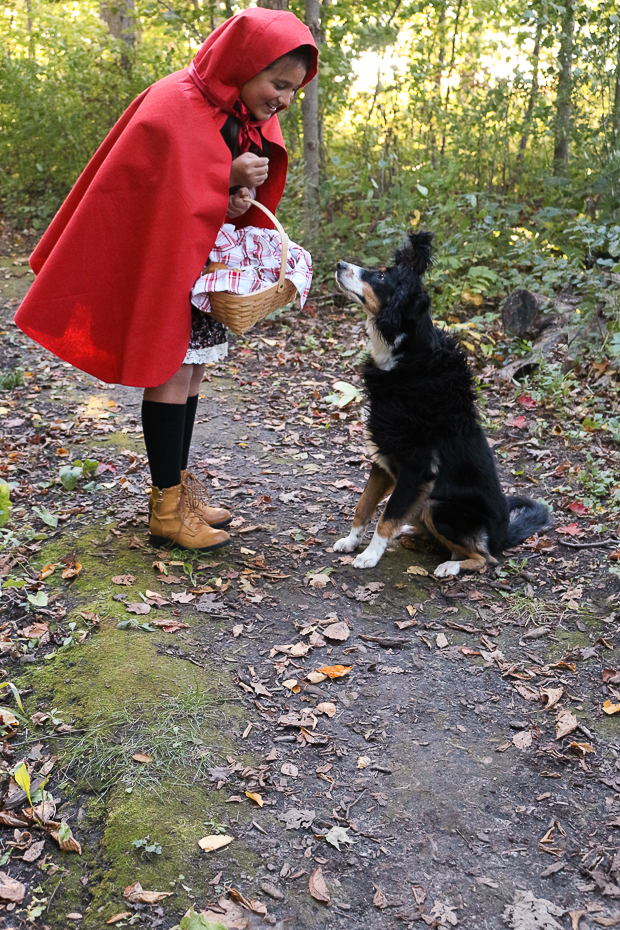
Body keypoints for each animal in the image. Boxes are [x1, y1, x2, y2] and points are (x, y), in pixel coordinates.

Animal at [332, 230, 548, 572]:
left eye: (381, 276)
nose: (339, 264)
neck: (405, 357)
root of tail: (504, 535)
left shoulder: (416, 468)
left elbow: (386, 516)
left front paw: (370, 555)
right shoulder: (383, 460)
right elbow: (364, 506)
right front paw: (352, 541)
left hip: (437, 505)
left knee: (485, 557)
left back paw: (451, 566)